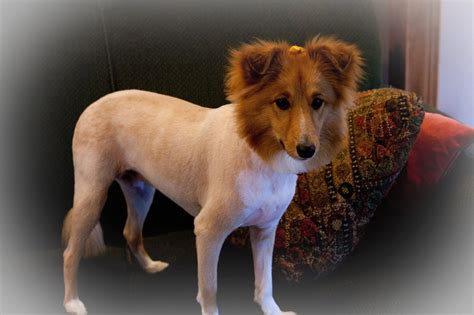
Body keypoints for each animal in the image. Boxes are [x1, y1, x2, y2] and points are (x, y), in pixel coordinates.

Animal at [61, 35, 362, 314]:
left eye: (318, 102)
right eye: (281, 102)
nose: (307, 149)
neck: (260, 157)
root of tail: (95, 103)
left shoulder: (265, 230)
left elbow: (265, 284)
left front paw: (273, 311)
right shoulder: (207, 231)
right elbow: (209, 291)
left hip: (141, 190)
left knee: (131, 232)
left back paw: (150, 266)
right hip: (92, 193)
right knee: (70, 253)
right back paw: (73, 302)